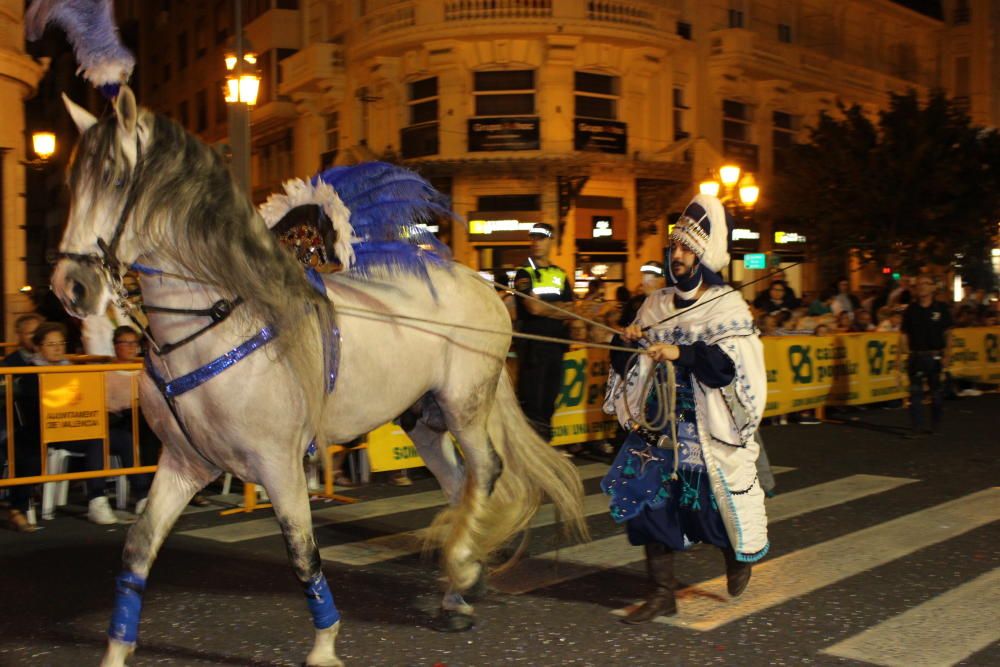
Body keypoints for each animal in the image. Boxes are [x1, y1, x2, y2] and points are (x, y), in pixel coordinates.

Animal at [52, 88, 584, 667]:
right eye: (71, 183)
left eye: (116, 179)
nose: (70, 287)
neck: (213, 328)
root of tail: (485, 284)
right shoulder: (184, 463)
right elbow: (139, 548)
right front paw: (116, 649)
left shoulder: (279, 464)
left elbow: (303, 553)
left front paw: (325, 647)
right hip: (422, 419)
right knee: (459, 482)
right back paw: (458, 586)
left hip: (465, 405)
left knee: (485, 470)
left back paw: (463, 568)